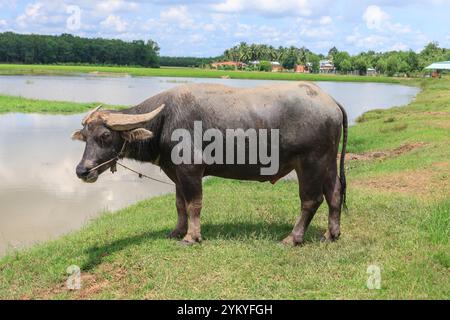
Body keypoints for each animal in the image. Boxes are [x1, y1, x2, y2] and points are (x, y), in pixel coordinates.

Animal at [74, 82, 348, 245]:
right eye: (85, 136)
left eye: (105, 136)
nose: (82, 170)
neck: (164, 121)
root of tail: (330, 101)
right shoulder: (176, 173)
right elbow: (179, 205)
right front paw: (177, 232)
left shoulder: (191, 170)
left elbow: (194, 204)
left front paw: (191, 236)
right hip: (328, 162)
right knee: (334, 194)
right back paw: (331, 234)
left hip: (310, 163)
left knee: (311, 200)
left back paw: (293, 238)